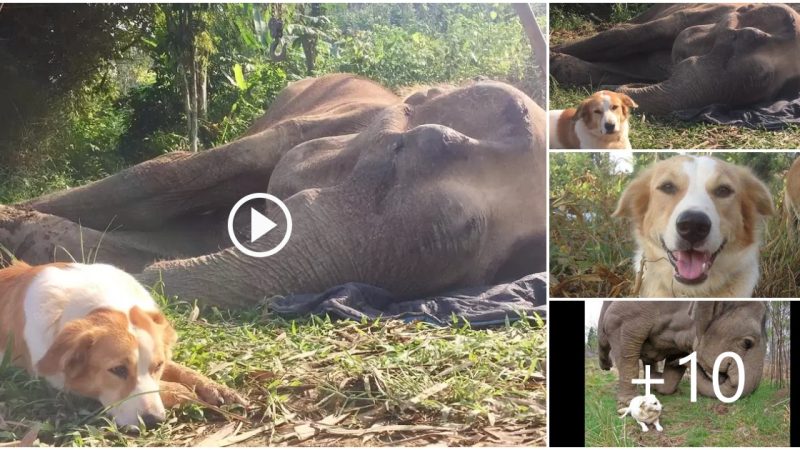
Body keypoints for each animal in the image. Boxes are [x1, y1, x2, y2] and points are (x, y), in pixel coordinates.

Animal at [0, 262, 247, 430]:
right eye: (118, 370)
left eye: (157, 366)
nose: (154, 421)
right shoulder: (59, 381)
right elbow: (175, 388)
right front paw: (186, 393)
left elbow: (181, 370)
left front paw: (215, 387)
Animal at [596, 302, 764, 404]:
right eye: (747, 343)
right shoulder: (626, 315)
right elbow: (625, 351)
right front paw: (630, 401)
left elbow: (670, 381)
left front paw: (656, 379)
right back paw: (605, 364)